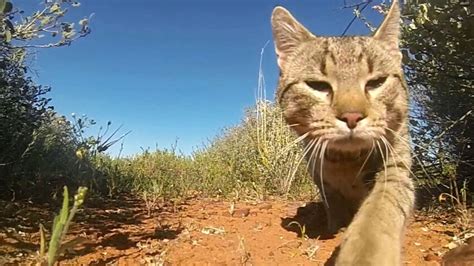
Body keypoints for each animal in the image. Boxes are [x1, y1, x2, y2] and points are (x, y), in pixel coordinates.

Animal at [270, 1, 414, 264]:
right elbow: (333, 206)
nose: (352, 116)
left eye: (377, 82)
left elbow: (380, 209)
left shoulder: (396, 168)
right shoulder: (322, 178)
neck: (346, 161)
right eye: (317, 85)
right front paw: (336, 228)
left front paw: (366, 251)